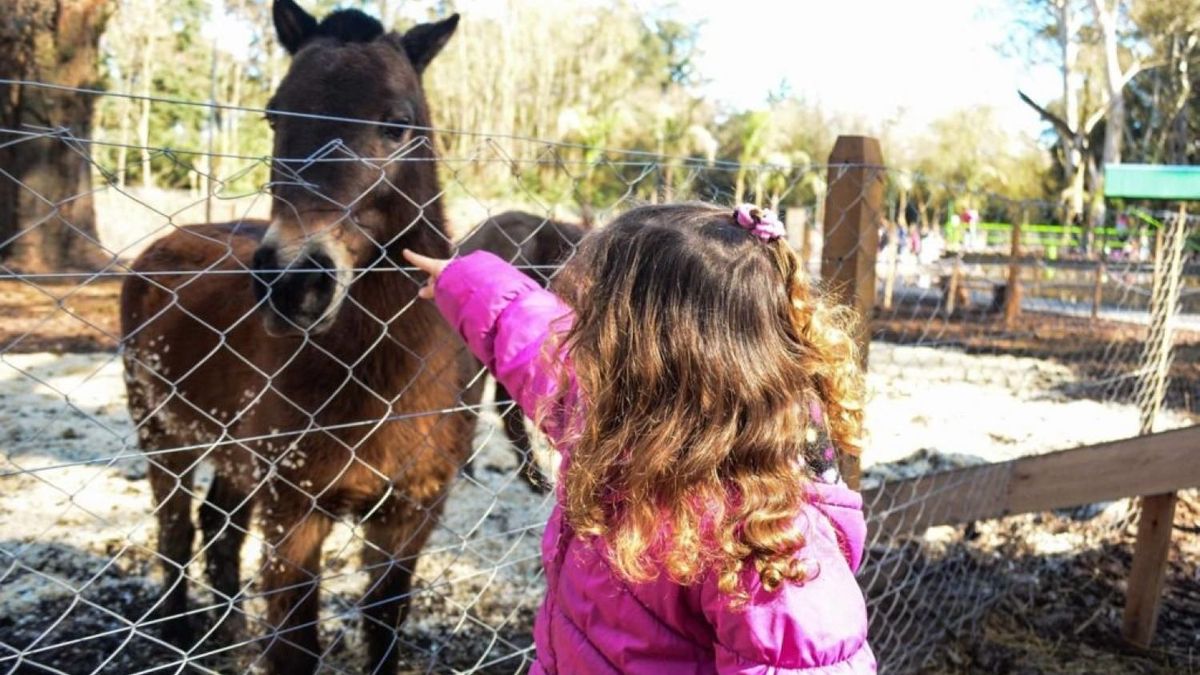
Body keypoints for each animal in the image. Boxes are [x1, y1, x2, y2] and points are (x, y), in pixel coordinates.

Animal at [120, 2, 471, 672]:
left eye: (397, 123)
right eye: (274, 115)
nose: (293, 282)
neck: (380, 385)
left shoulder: (408, 519)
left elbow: (383, 629)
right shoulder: (295, 514)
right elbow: (294, 646)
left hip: (231, 458)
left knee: (216, 530)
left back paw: (224, 635)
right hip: (164, 438)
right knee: (175, 531)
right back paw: (179, 639)